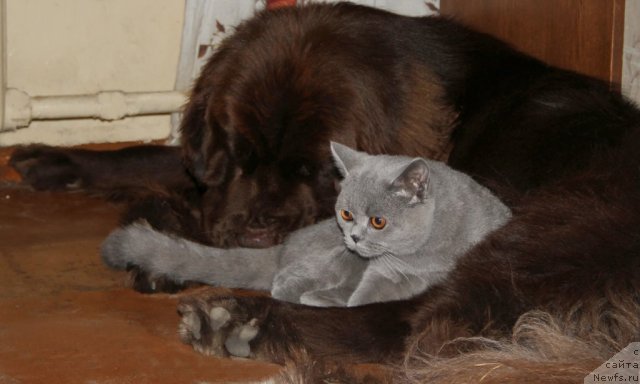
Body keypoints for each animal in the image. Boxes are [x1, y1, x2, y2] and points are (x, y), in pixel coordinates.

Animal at [101, 142, 510, 308]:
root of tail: (284, 245)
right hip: (330, 257)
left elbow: (366, 295)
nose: (354, 236)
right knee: (286, 279)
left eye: (378, 221)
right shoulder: (376, 267)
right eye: (346, 214)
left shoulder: (407, 276)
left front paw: (345, 300)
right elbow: (360, 293)